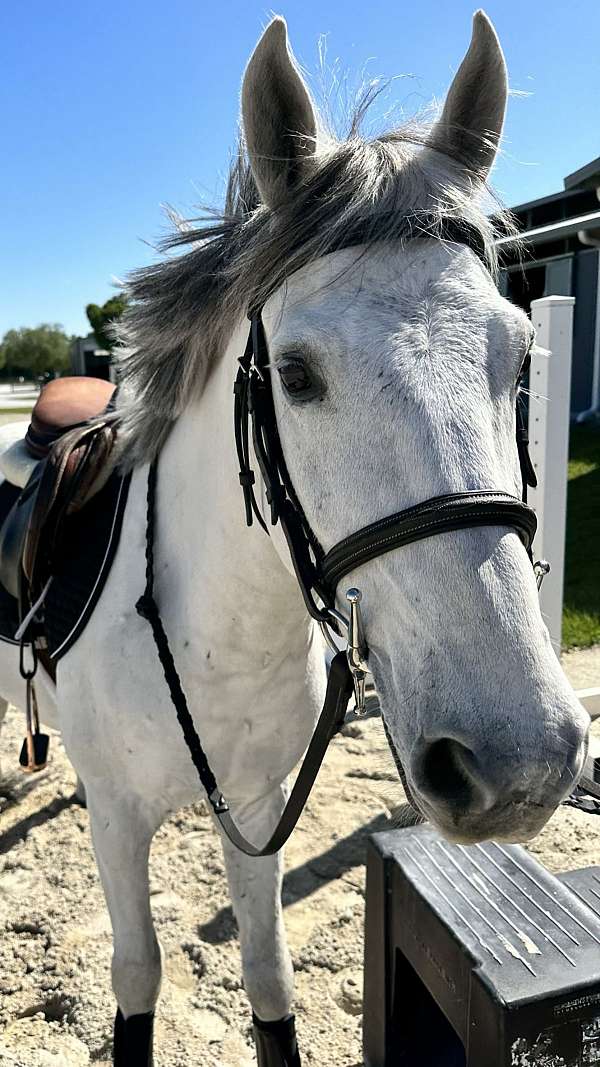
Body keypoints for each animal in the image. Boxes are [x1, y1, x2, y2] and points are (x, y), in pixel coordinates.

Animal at [0, 14, 585, 1067]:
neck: (212, 635)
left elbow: (268, 978)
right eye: (299, 374)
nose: (519, 763)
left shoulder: (259, 804)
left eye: (522, 355)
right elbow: (136, 977)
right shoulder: (119, 825)